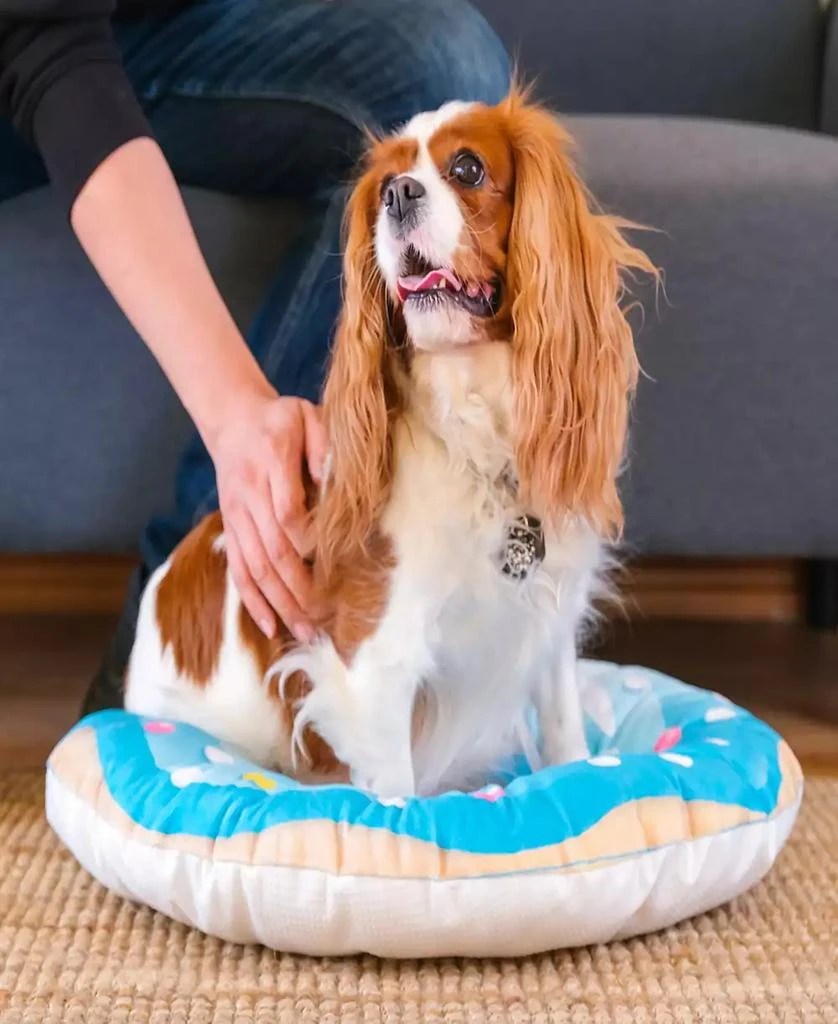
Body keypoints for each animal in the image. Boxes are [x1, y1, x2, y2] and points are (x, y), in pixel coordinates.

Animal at [122, 90, 651, 798]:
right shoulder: (374, 666)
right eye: (382, 190)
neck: (475, 436)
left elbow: (565, 735)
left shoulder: (547, 624)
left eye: (468, 168)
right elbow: (395, 797)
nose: (400, 194)